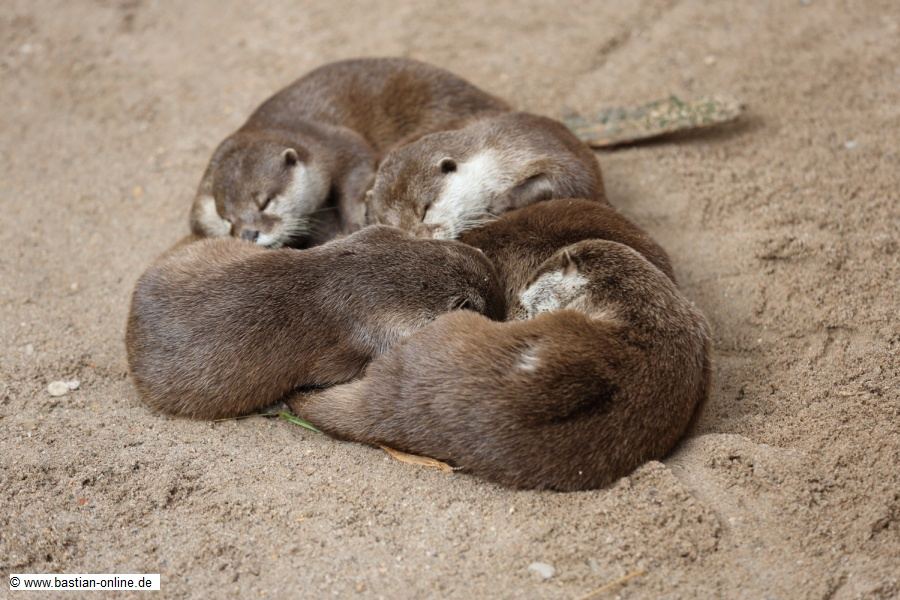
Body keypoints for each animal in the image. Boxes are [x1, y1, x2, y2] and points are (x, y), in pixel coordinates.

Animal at [191, 58, 510, 248]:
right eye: (226, 219)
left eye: (265, 202)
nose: (248, 234)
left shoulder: (336, 142)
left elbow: (356, 170)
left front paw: (355, 223)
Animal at [365, 112, 606, 239]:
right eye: (393, 228)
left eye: (425, 211)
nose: (423, 241)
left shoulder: (539, 149)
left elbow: (571, 180)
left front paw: (498, 204)